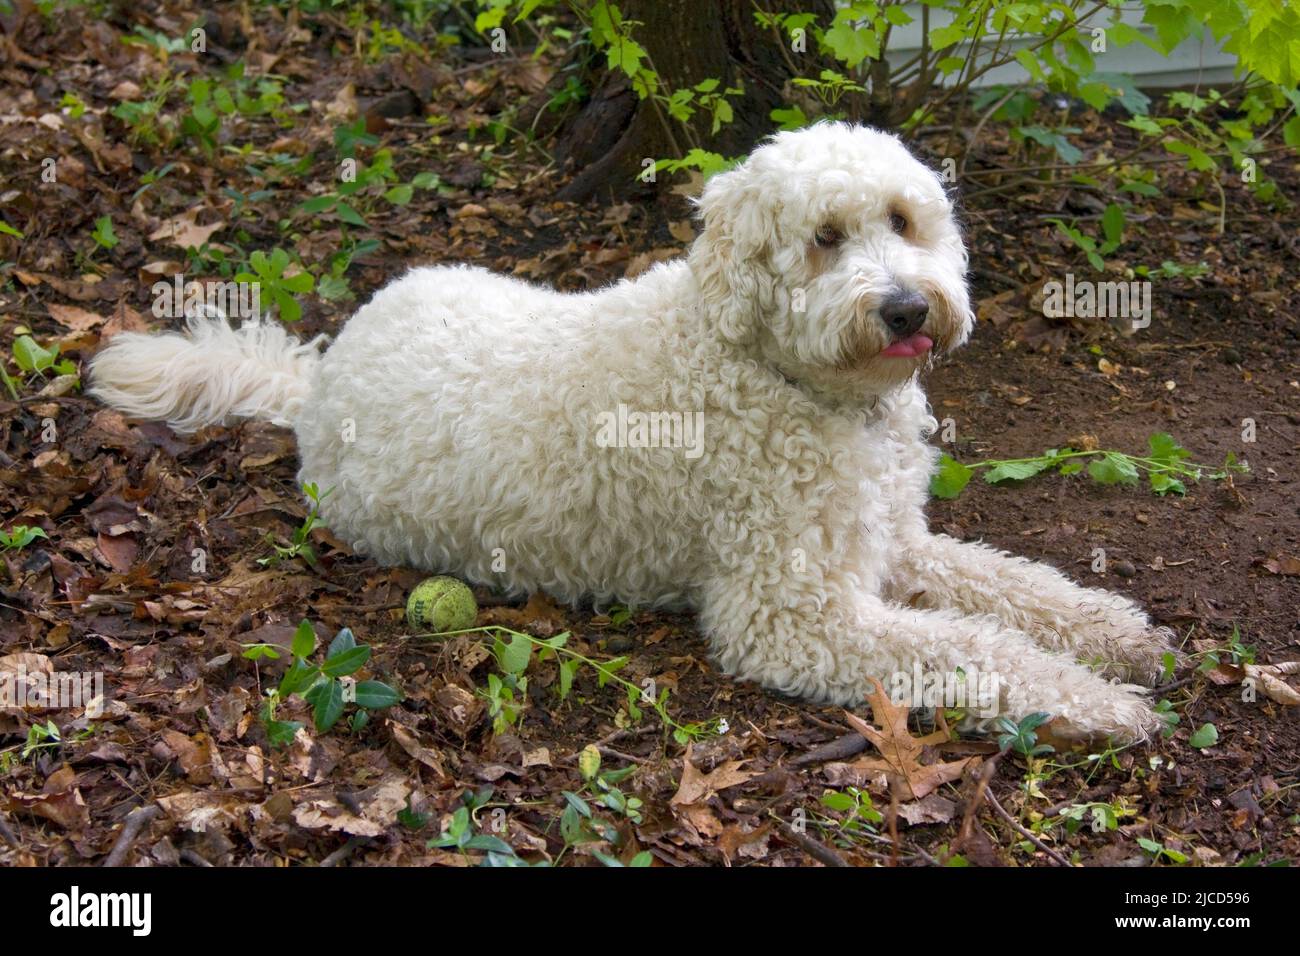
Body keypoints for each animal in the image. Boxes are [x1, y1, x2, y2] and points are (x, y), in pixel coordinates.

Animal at [91, 123, 1170, 743]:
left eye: (903, 220)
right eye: (824, 238)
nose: (907, 307)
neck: (766, 364)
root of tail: (321, 381)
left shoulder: (891, 540)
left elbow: (1011, 586)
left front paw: (1117, 634)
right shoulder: (792, 614)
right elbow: (973, 647)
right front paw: (1097, 700)